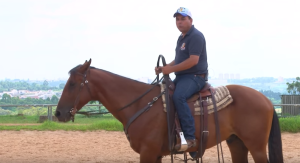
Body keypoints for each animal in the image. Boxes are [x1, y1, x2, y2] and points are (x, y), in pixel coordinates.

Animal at [54, 59, 284, 163]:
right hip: (237, 143)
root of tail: (266, 100)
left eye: (73, 84)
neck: (140, 104)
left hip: (256, 147)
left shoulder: (148, 153)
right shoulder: (155, 154)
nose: (59, 114)